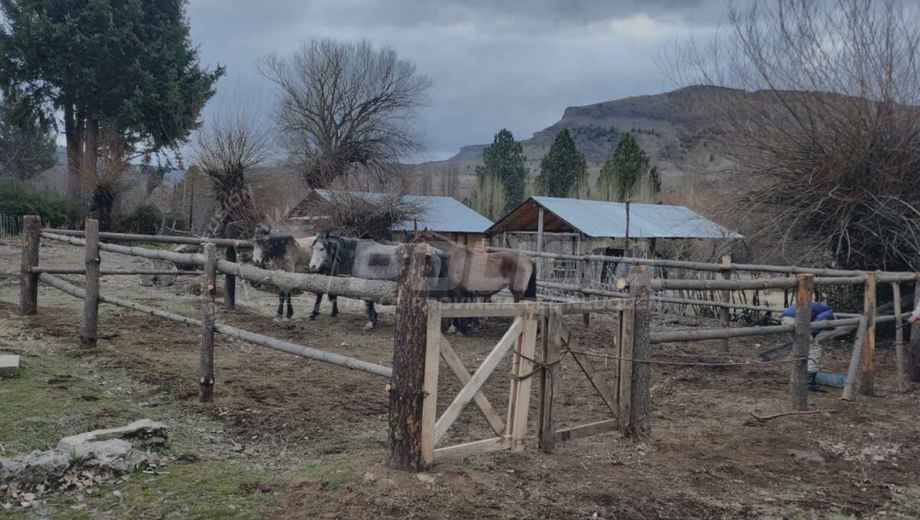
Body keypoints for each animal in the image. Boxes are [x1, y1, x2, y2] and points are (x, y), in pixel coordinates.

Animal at [308, 234, 448, 329]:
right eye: (313, 247)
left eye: (322, 249)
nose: (312, 266)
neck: (358, 254)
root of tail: (436, 252)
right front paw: (374, 319)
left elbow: (368, 304)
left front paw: (371, 322)